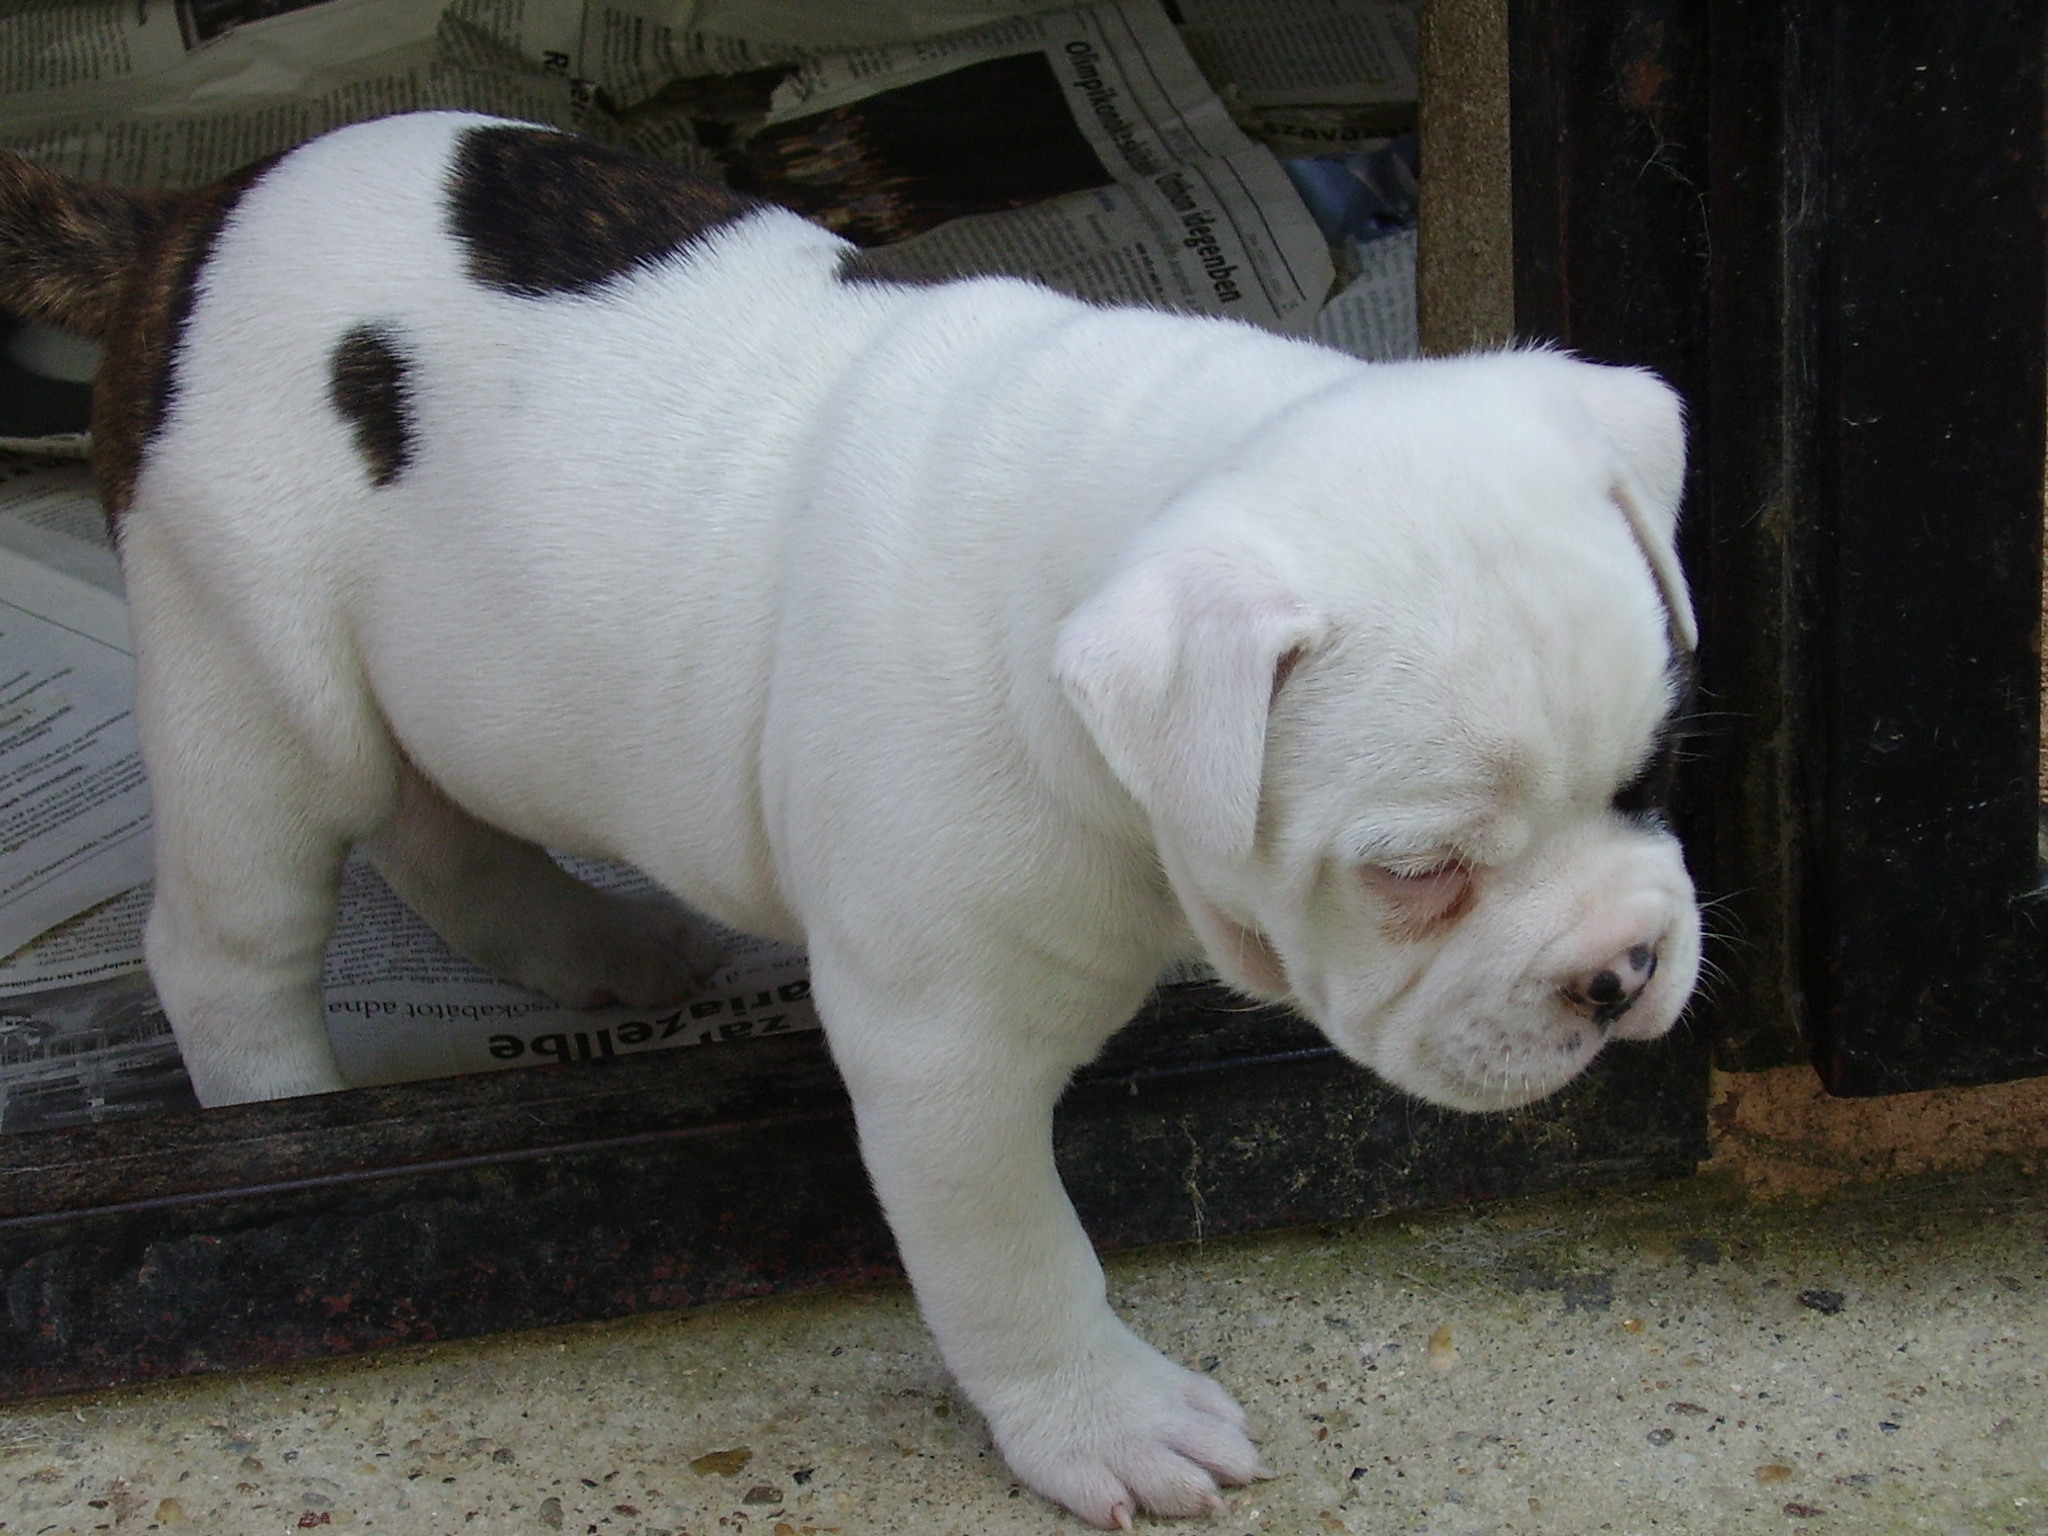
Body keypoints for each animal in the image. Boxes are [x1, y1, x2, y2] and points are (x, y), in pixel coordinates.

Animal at [0, 112, 1700, 1527]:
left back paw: (598, 945)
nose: (1620, 972)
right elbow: (1011, 1250)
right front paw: (1102, 1421)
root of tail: (179, 220)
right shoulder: (944, 1049)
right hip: (253, 672)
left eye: (1650, 776)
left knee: (436, 825)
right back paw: (286, 1121)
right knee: (236, 930)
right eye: (1418, 874)